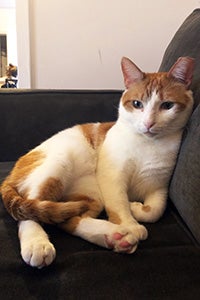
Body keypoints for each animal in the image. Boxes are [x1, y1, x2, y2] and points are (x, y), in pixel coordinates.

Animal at [0, 55, 194, 268]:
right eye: (137, 104)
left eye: (167, 105)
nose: (148, 123)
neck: (147, 144)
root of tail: (11, 172)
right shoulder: (112, 177)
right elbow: (119, 204)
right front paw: (130, 223)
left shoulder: (159, 186)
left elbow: (155, 211)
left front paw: (136, 209)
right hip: (57, 166)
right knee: (28, 209)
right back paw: (36, 243)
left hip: (90, 195)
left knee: (67, 220)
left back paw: (114, 237)